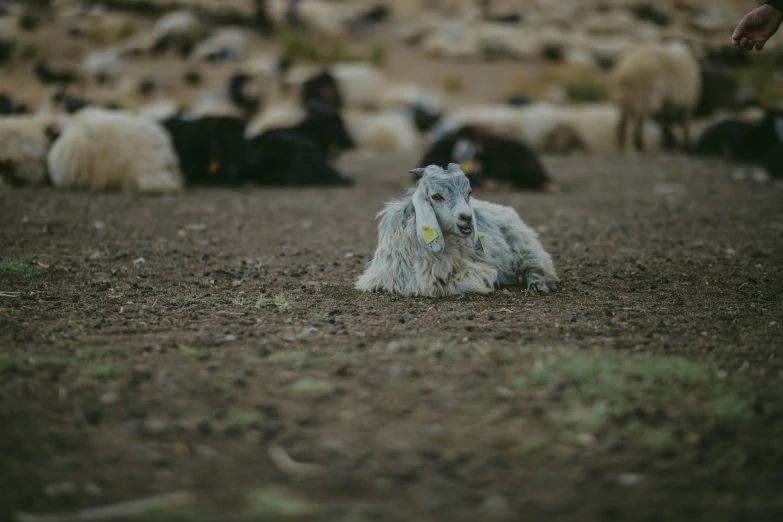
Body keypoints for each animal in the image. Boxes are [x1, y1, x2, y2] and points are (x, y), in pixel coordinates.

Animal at [356, 162, 556, 296]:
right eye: (436, 196)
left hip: (525, 245)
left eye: (469, 193)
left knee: (536, 263)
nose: (467, 218)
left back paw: (539, 284)